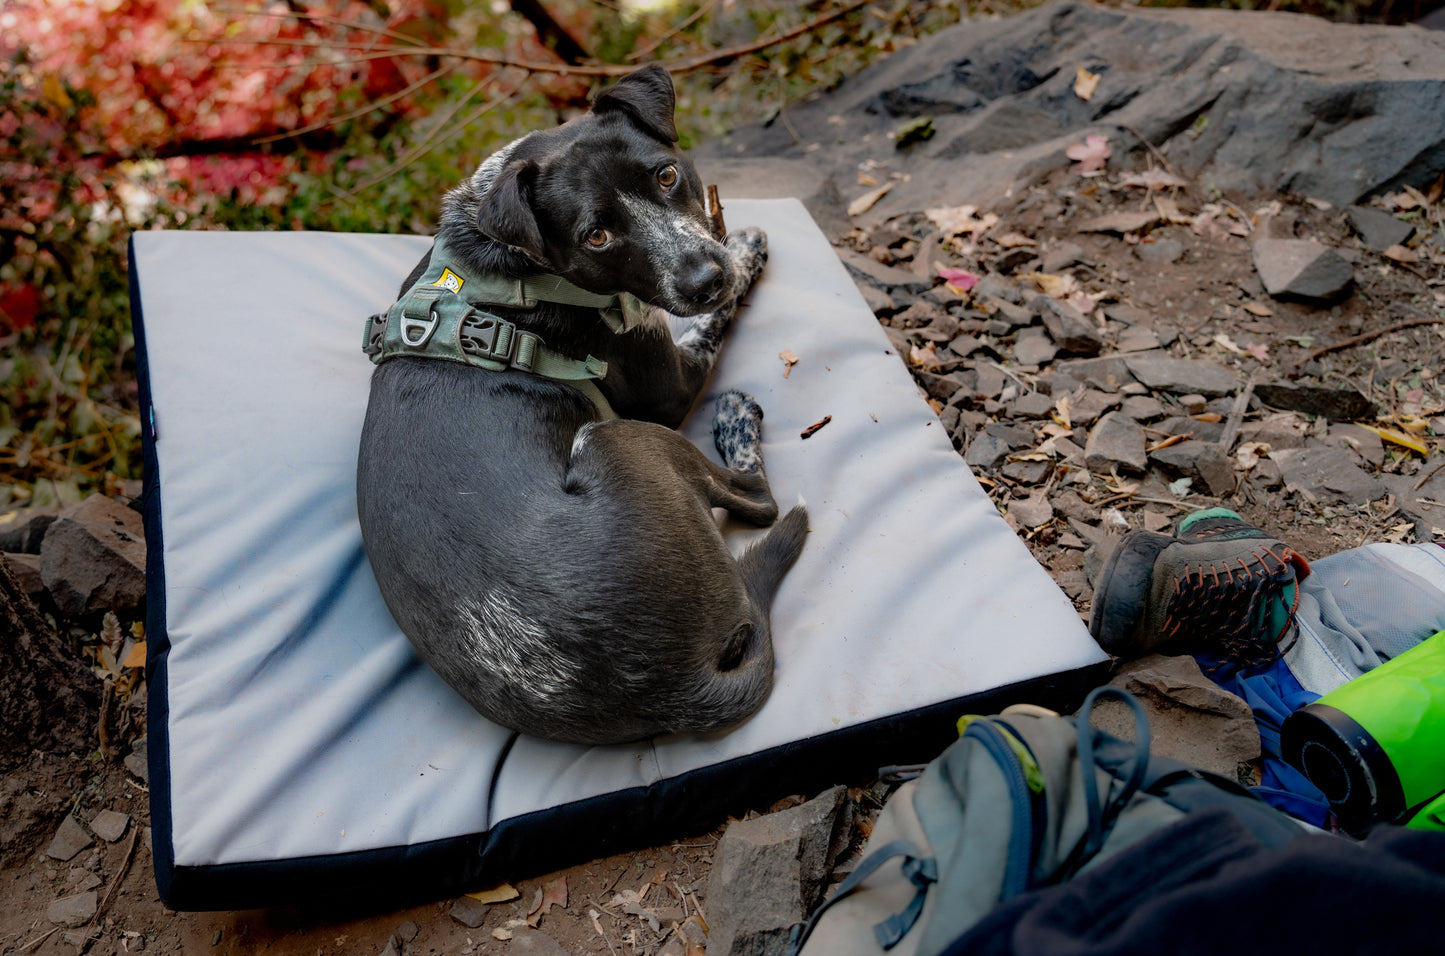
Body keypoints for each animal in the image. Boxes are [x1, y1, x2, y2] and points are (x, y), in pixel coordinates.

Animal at [358, 65, 814, 750]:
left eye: (666, 175)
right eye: (596, 236)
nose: (705, 278)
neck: (513, 264)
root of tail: (672, 692)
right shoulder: (666, 386)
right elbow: (713, 322)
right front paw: (746, 252)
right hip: (619, 439)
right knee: (760, 503)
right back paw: (735, 422)